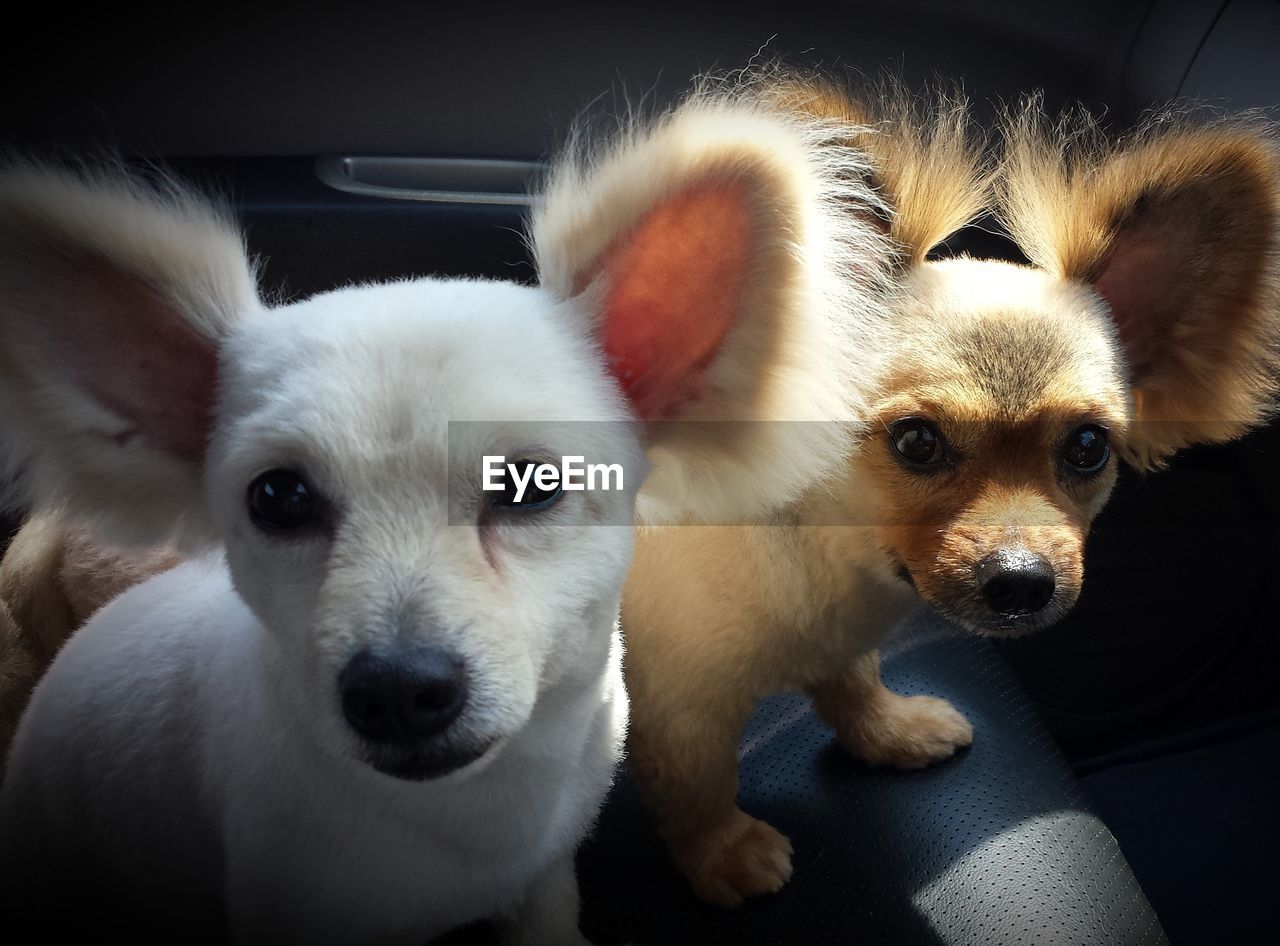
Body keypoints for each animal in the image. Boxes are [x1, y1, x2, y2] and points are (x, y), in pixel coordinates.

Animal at [622, 83, 1280, 911]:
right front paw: (724, 853)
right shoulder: (679, 702)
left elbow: (852, 680)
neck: (835, 555)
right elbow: (698, 787)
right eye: (916, 443)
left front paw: (889, 732)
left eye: (1088, 448)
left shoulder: (839, 641)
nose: (1022, 582)